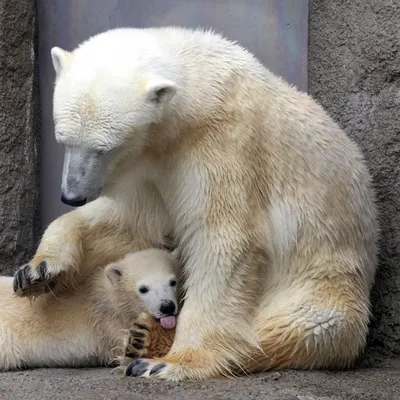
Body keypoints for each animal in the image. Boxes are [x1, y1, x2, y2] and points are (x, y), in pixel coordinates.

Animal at [12, 26, 378, 380]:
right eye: (64, 140)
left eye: (105, 148)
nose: (71, 195)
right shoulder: (153, 164)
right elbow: (134, 221)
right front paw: (38, 271)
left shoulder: (224, 147)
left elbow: (225, 242)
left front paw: (174, 363)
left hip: (319, 286)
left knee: (287, 330)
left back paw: (149, 347)